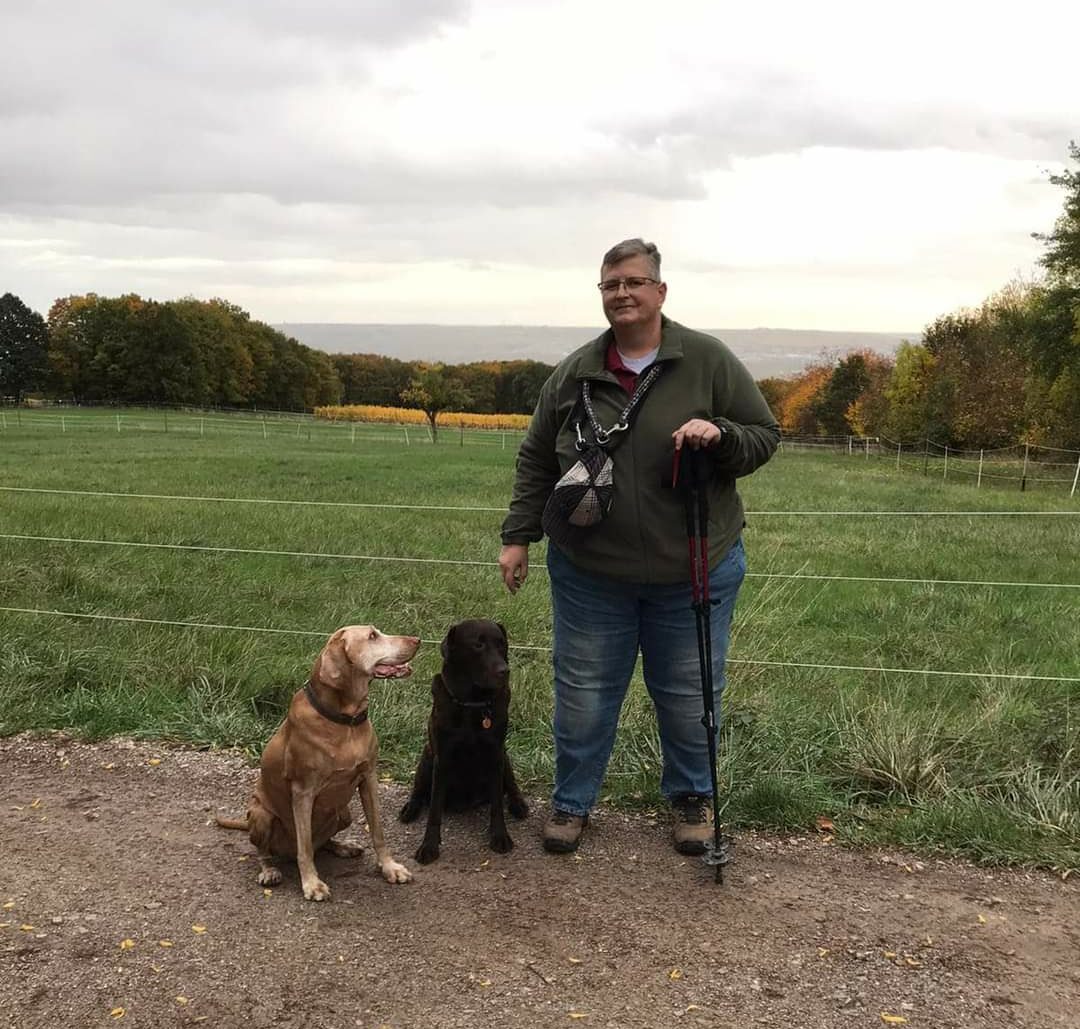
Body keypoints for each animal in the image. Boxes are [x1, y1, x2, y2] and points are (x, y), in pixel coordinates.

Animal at [217, 621, 419, 894]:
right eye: (372, 636)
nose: (417, 639)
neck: (344, 722)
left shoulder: (369, 778)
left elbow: (378, 831)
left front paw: (389, 867)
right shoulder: (303, 791)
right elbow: (304, 847)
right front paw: (312, 883)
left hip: (344, 811)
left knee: (322, 843)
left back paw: (343, 846)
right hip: (261, 815)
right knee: (265, 851)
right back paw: (269, 870)